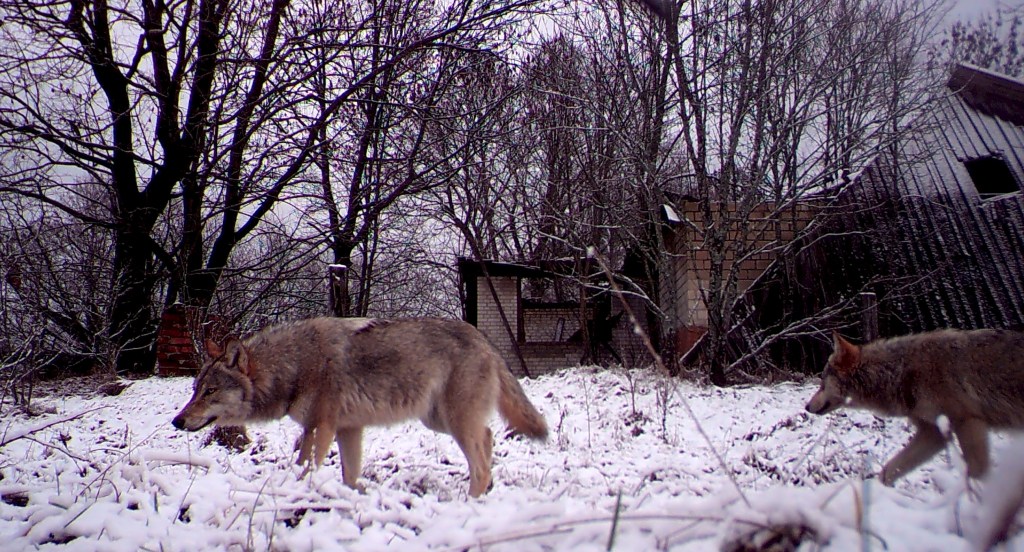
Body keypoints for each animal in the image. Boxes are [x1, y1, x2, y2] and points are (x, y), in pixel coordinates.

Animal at [172, 317, 548, 499]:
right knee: (489, 437)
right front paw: (349, 497)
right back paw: (489, 491)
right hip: (439, 421)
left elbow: (306, 467)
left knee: (480, 460)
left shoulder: (320, 427)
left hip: (453, 422)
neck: (294, 365)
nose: (177, 421)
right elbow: (349, 475)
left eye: (210, 391)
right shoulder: (347, 429)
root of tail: (485, 339)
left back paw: (470, 503)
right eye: (195, 390)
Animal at [802, 327, 1024, 483]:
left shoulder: (968, 422)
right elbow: (889, 470)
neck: (900, 372)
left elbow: (977, 472)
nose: (806, 406)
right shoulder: (933, 433)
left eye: (822, 382)